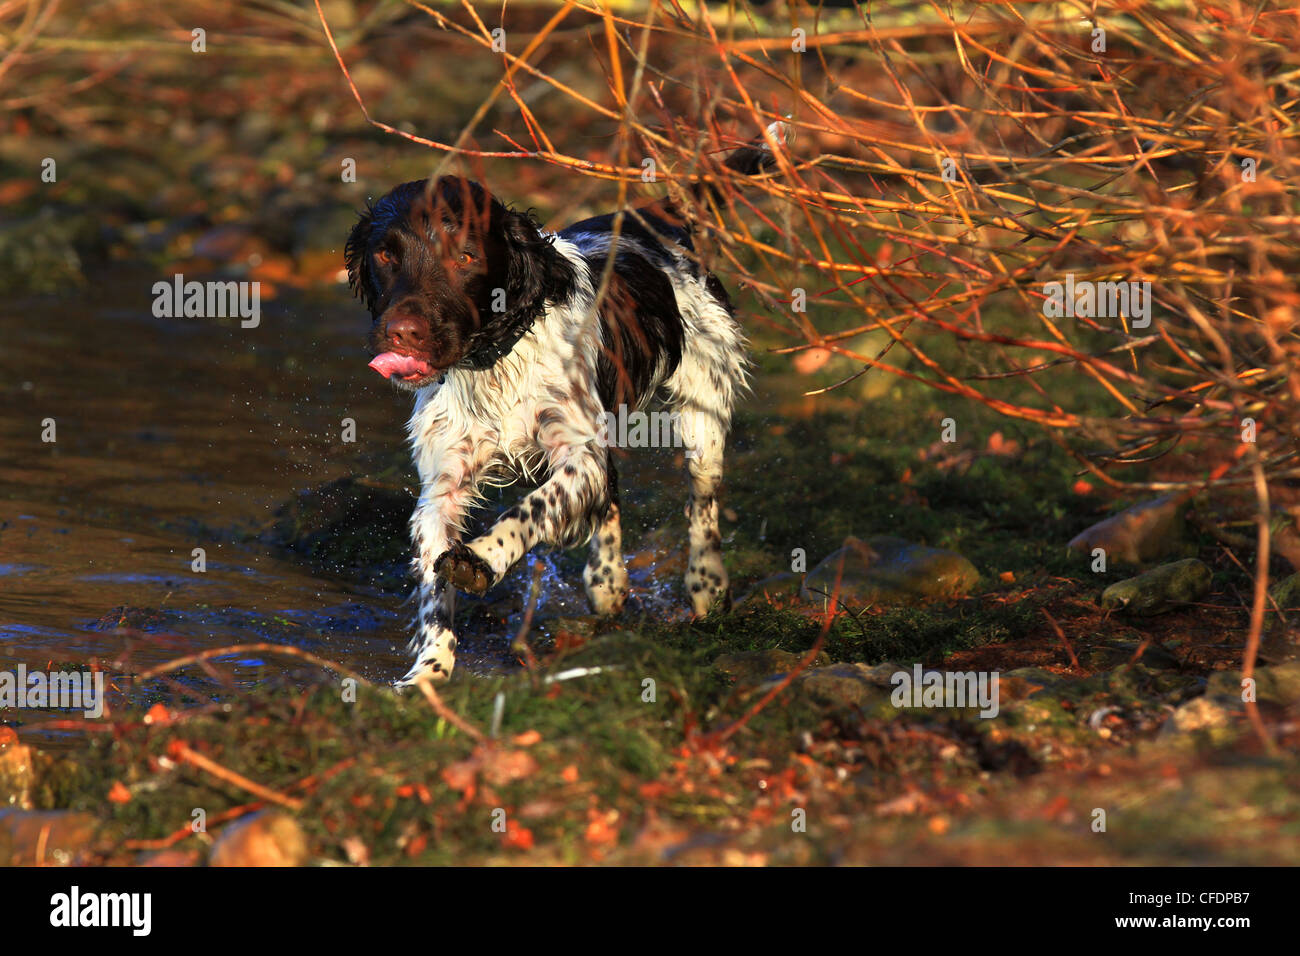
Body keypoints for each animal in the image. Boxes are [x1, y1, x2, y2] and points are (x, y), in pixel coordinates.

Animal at [345, 123, 780, 686]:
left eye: (465, 257)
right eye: (384, 255)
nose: (403, 333)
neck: (493, 359)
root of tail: (651, 217)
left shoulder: (577, 451)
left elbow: (530, 508)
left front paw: (482, 558)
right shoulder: (442, 486)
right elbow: (434, 590)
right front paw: (428, 672)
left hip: (703, 408)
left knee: (701, 499)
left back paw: (707, 587)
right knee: (612, 492)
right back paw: (607, 582)